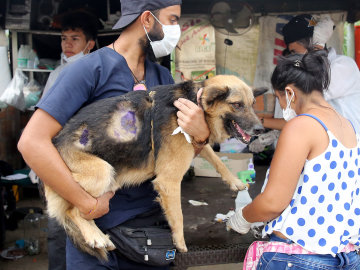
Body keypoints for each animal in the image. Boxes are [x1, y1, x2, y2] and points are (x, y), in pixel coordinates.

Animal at [44, 75, 264, 260]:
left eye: (253, 105)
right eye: (237, 105)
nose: (261, 129)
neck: (195, 102)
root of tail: (57, 142)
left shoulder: (195, 143)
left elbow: (216, 158)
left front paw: (234, 182)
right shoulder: (168, 181)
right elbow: (178, 216)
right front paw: (180, 243)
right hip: (103, 172)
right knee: (72, 210)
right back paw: (95, 236)